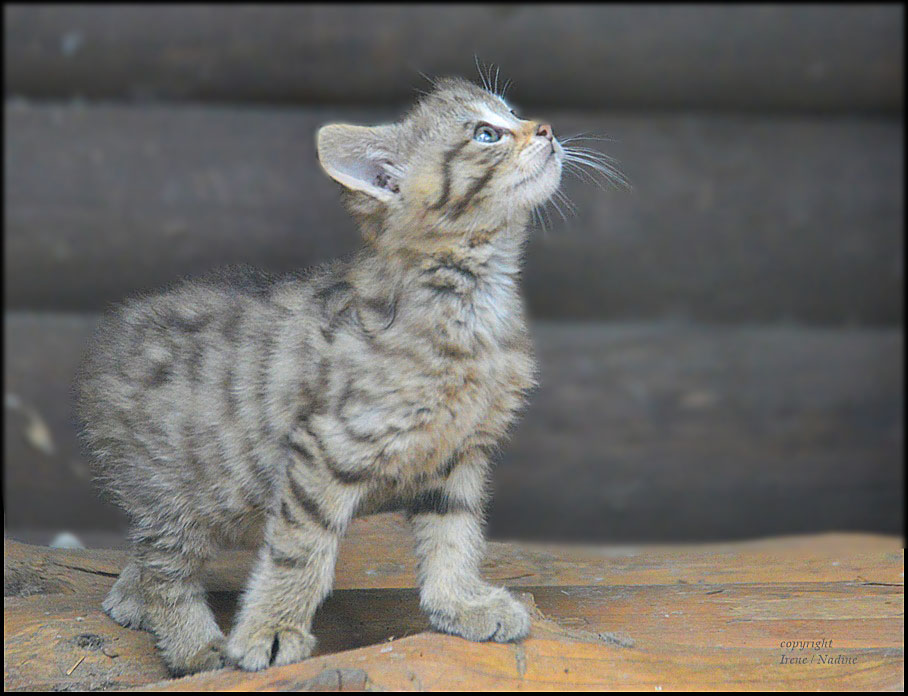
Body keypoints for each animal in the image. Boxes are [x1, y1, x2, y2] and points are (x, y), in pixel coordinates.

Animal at [78, 76, 564, 676]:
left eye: (512, 113)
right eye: (486, 134)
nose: (547, 129)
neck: (472, 296)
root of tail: (110, 338)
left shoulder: (455, 454)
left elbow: (455, 536)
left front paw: (460, 604)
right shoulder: (324, 448)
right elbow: (300, 551)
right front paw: (271, 629)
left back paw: (129, 595)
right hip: (177, 487)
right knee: (167, 567)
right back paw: (194, 643)